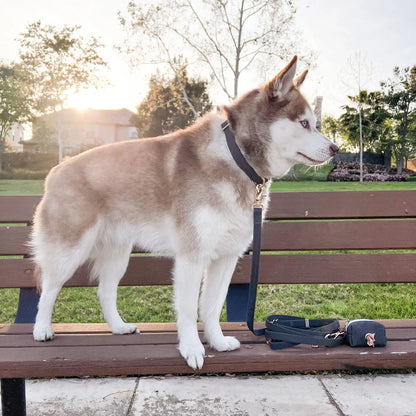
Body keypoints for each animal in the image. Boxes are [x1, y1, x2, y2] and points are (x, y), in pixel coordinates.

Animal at [32, 56, 338, 370]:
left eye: (315, 124)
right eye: (304, 123)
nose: (335, 148)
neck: (238, 158)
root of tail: (55, 170)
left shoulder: (226, 256)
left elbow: (213, 306)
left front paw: (217, 342)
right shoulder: (192, 256)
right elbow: (190, 308)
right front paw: (192, 348)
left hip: (117, 254)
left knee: (105, 291)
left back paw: (118, 327)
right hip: (69, 251)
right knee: (48, 288)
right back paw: (42, 329)